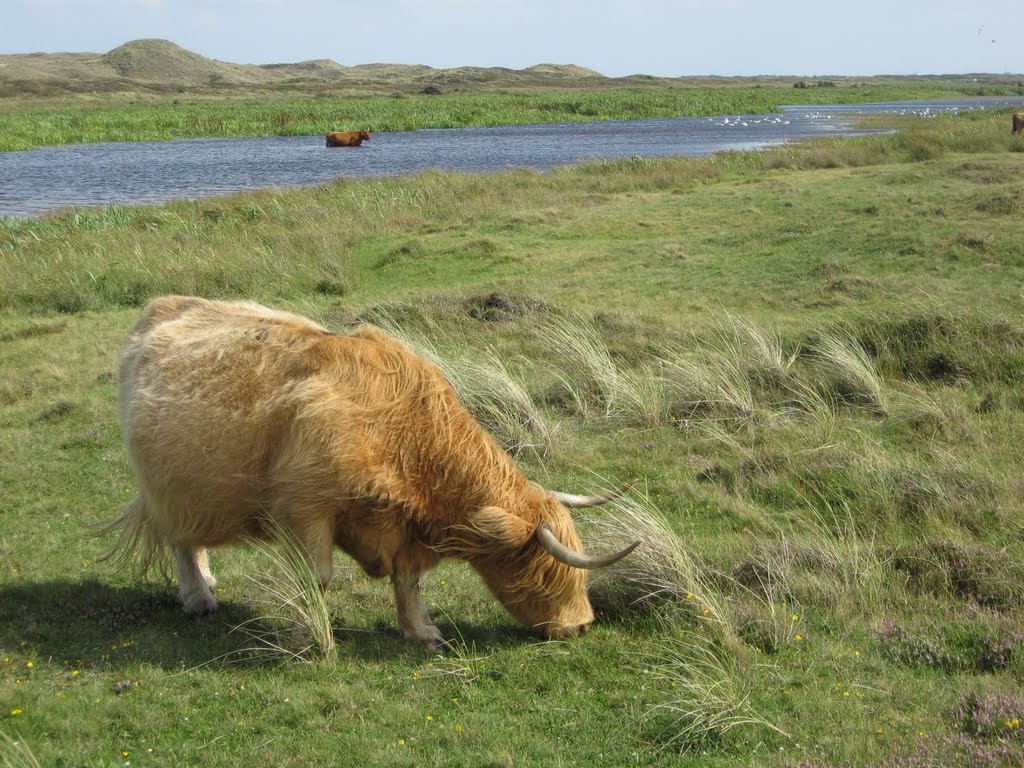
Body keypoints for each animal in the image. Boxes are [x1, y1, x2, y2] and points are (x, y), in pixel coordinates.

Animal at [101, 296, 630, 651]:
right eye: (543, 568)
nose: (583, 624)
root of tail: (164, 305)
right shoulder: (305, 509)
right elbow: (317, 578)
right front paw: (309, 636)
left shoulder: (406, 530)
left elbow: (408, 581)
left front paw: (421, 630)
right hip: (168, 486)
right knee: (180, 541)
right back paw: (197, 597)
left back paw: (207, 582)